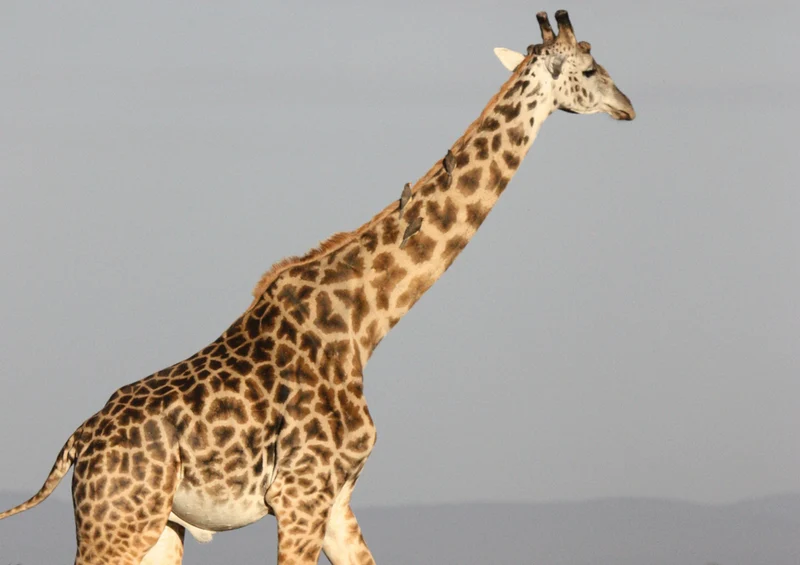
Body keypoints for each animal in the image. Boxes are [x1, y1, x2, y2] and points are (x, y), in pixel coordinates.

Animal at [0, 10, 635, 565]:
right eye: (590, 69)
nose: (627, 107)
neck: (365, 323)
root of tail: (78, 444)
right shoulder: (300, 495)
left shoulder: (335, 501)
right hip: (116, 523)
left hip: (160, 528)